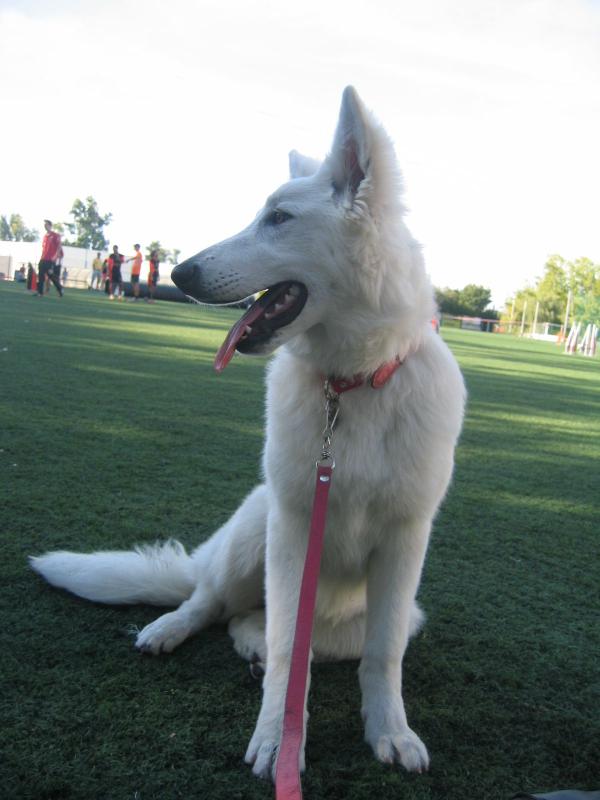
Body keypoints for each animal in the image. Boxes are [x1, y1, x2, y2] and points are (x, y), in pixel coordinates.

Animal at [30, 87, 466, 780]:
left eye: (279, 218)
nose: (179, 274)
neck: (349, 388)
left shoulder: (404, 546)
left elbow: (381, 656)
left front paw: (389, 732)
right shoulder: (291, 528)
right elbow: (289, 647)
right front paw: (276, 738)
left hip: (381, 607)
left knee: (265, 627)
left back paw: (252, 647)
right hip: (254, 529)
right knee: (213, 602)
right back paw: (170, 629)